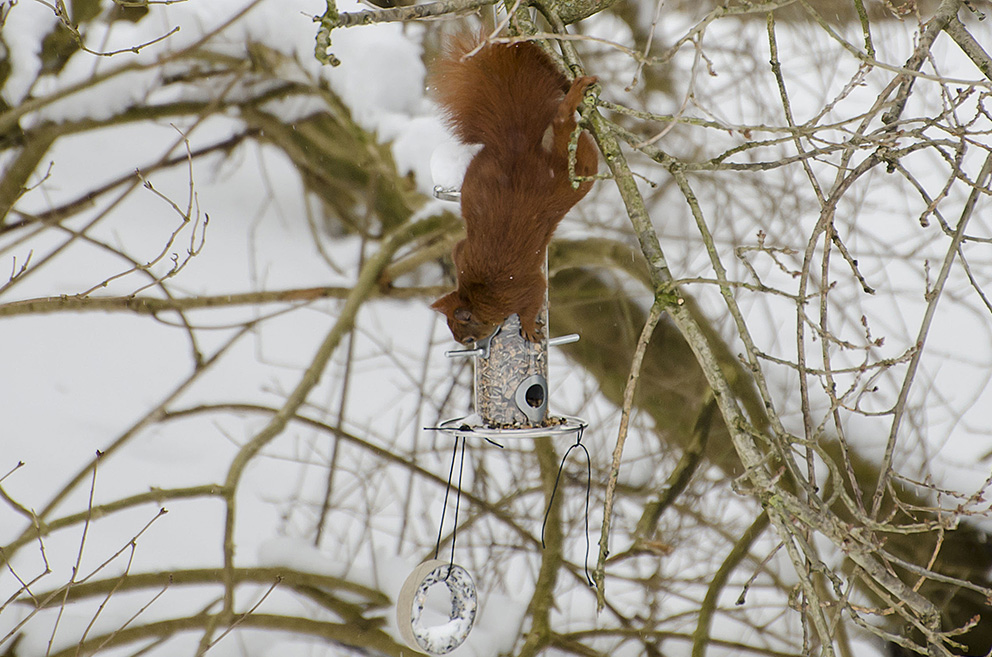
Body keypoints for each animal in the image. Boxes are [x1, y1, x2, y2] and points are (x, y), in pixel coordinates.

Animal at [428, 34, 596, 344]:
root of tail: (516, 148)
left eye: (466, 338)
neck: (481, 293)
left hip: (575, 172)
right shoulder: (462, 253)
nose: (470, 346)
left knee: (562, 123)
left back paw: (573, 97)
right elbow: (457, 248)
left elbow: (532, 302)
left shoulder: (525, 289)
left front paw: (528, 328)